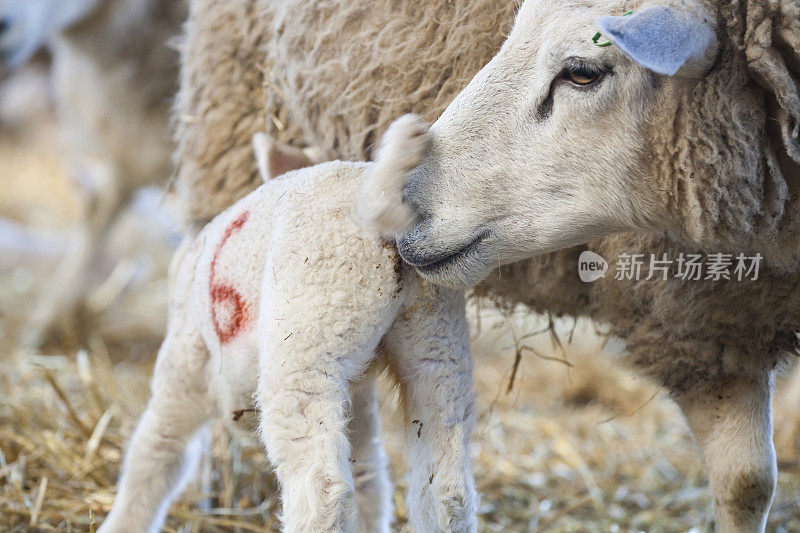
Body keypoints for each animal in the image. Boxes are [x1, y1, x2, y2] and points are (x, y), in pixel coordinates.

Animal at [98, 116, 476, 532]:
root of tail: (378, 199)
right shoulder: (358, 399)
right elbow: (370, 481)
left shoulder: (184, 364)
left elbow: (155, 456)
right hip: (437, 340)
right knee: (446, 491)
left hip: (306, 337)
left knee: (321, 487)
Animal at [175, 0, 800, 528]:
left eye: (581, 71)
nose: (400, 205)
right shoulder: (698, 314)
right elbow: (745, 479)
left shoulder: (724, 310)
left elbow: (748, 484)